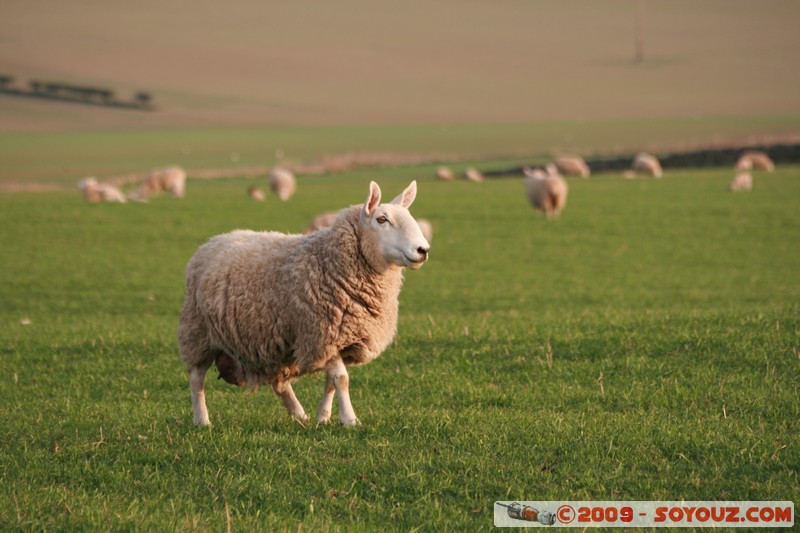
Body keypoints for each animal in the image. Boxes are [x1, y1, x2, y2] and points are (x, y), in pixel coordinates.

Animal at [180, 181, 432, 426]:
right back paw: (202, 420)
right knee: (196, 379)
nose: (423, 250)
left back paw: (300, 415)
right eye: (382, 219)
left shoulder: (337, 339)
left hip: (272, 343)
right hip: (198, 332)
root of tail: (214, 240)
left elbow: (330, 382)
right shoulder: (322, 335)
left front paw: (323, 417)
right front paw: (349, 419)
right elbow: (342, 379)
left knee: (280, 384)